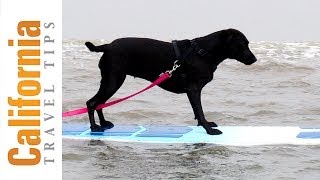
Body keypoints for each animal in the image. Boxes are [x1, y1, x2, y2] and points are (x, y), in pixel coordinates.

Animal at [84, 28, 256, 135]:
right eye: (243, 44)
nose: (254, 59)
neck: (203, 52)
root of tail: (107, 46)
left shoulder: (193, 91)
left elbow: (197, 111)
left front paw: (203, 125)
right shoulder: (194, 89)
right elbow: (200, 111)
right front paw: (208, 130)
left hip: (111, 81)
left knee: (99, 103)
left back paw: (104, 123)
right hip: (113, 81)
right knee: (92, 103)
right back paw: (94, 127)